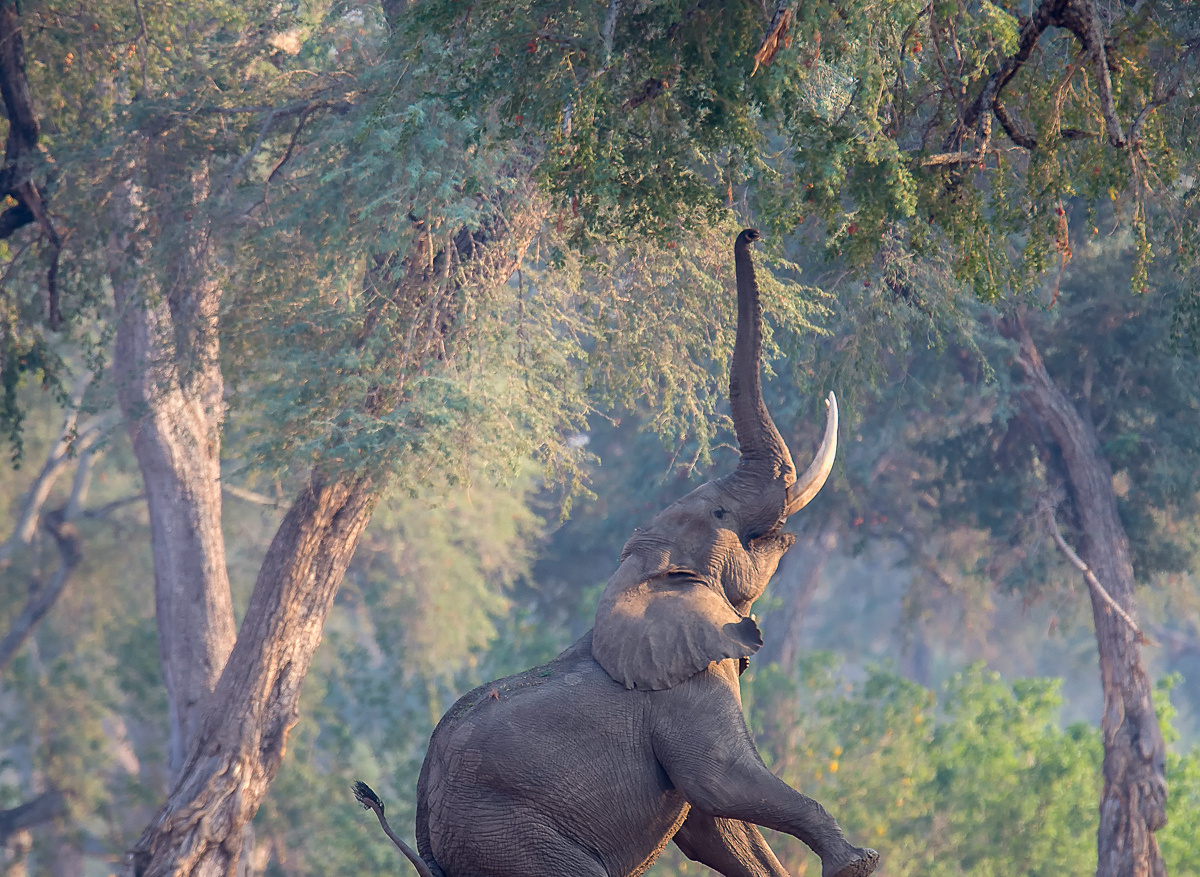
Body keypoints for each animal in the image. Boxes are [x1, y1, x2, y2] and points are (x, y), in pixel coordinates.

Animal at [371, 230, 879, 877]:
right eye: (720, 514)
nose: (749, 234)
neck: (640, 574)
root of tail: (424, 839)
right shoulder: (684, 690)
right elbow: (721, 783)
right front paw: (859, 861)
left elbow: (717, 827)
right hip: (510, 837)